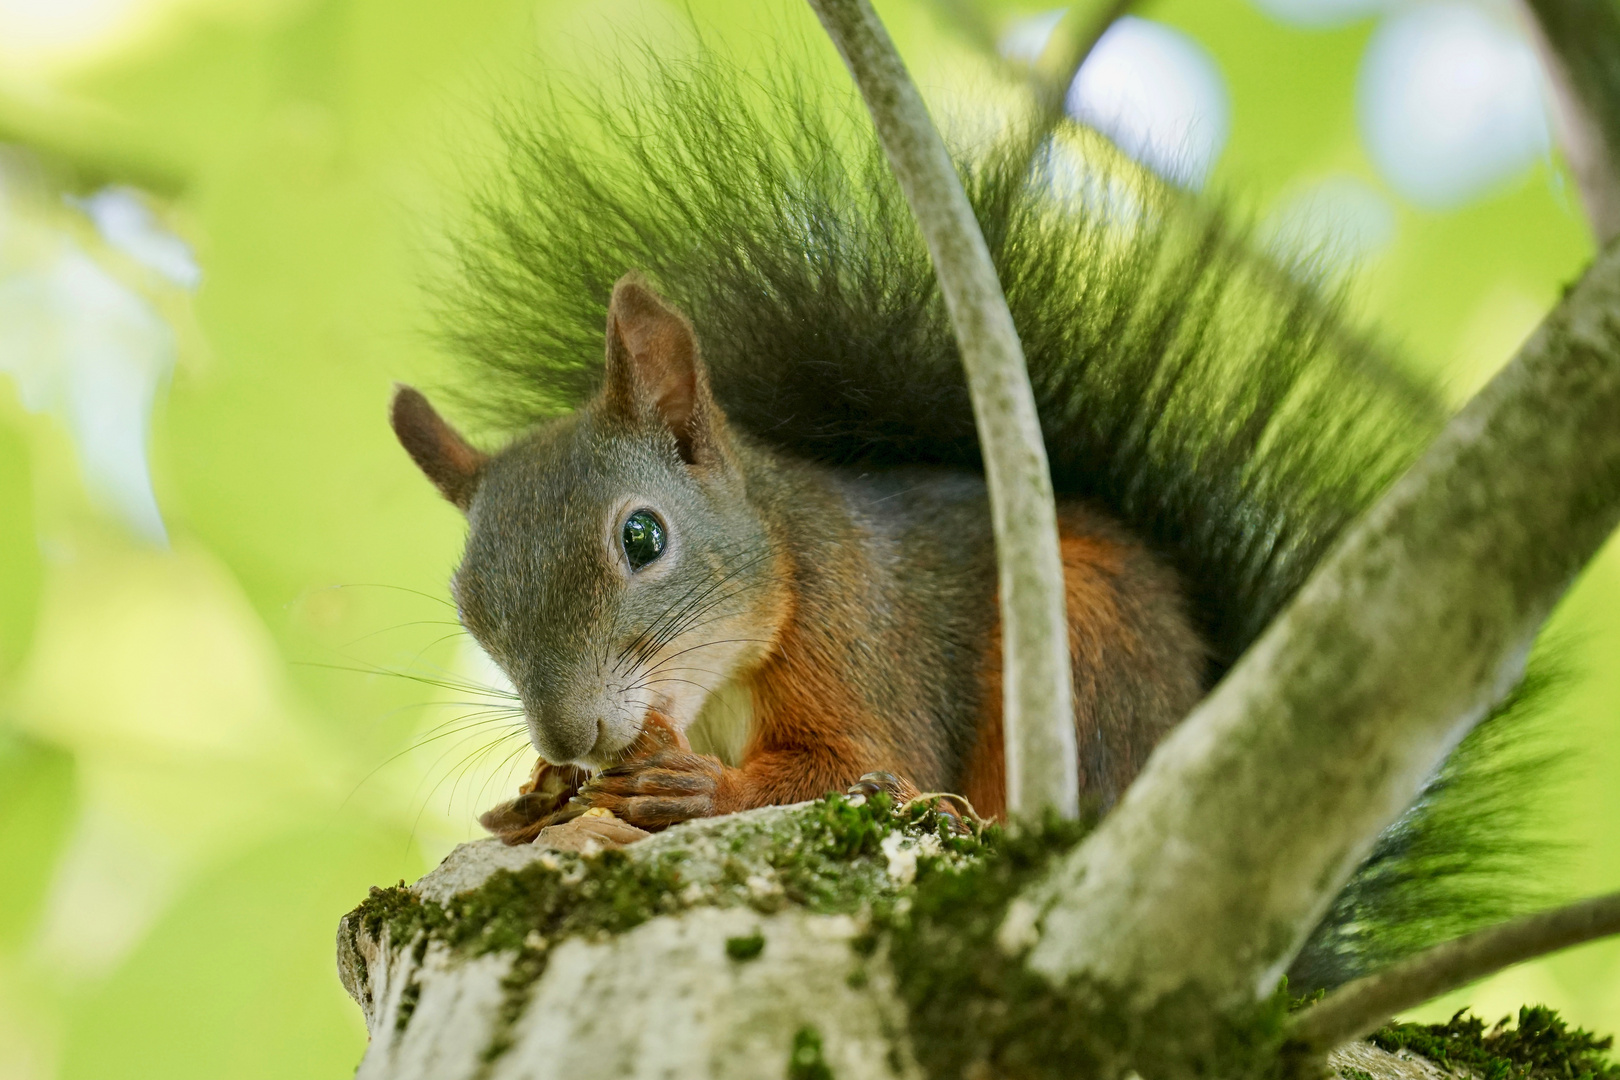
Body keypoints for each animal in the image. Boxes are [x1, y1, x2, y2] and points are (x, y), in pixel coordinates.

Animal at [382, 57, 1555, 990]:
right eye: (469, 606)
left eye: (642, 538)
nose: (567, 735)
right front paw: (536, 798)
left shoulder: (859, 633)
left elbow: (868, 764)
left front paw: (697, 786)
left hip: (1089, 648)